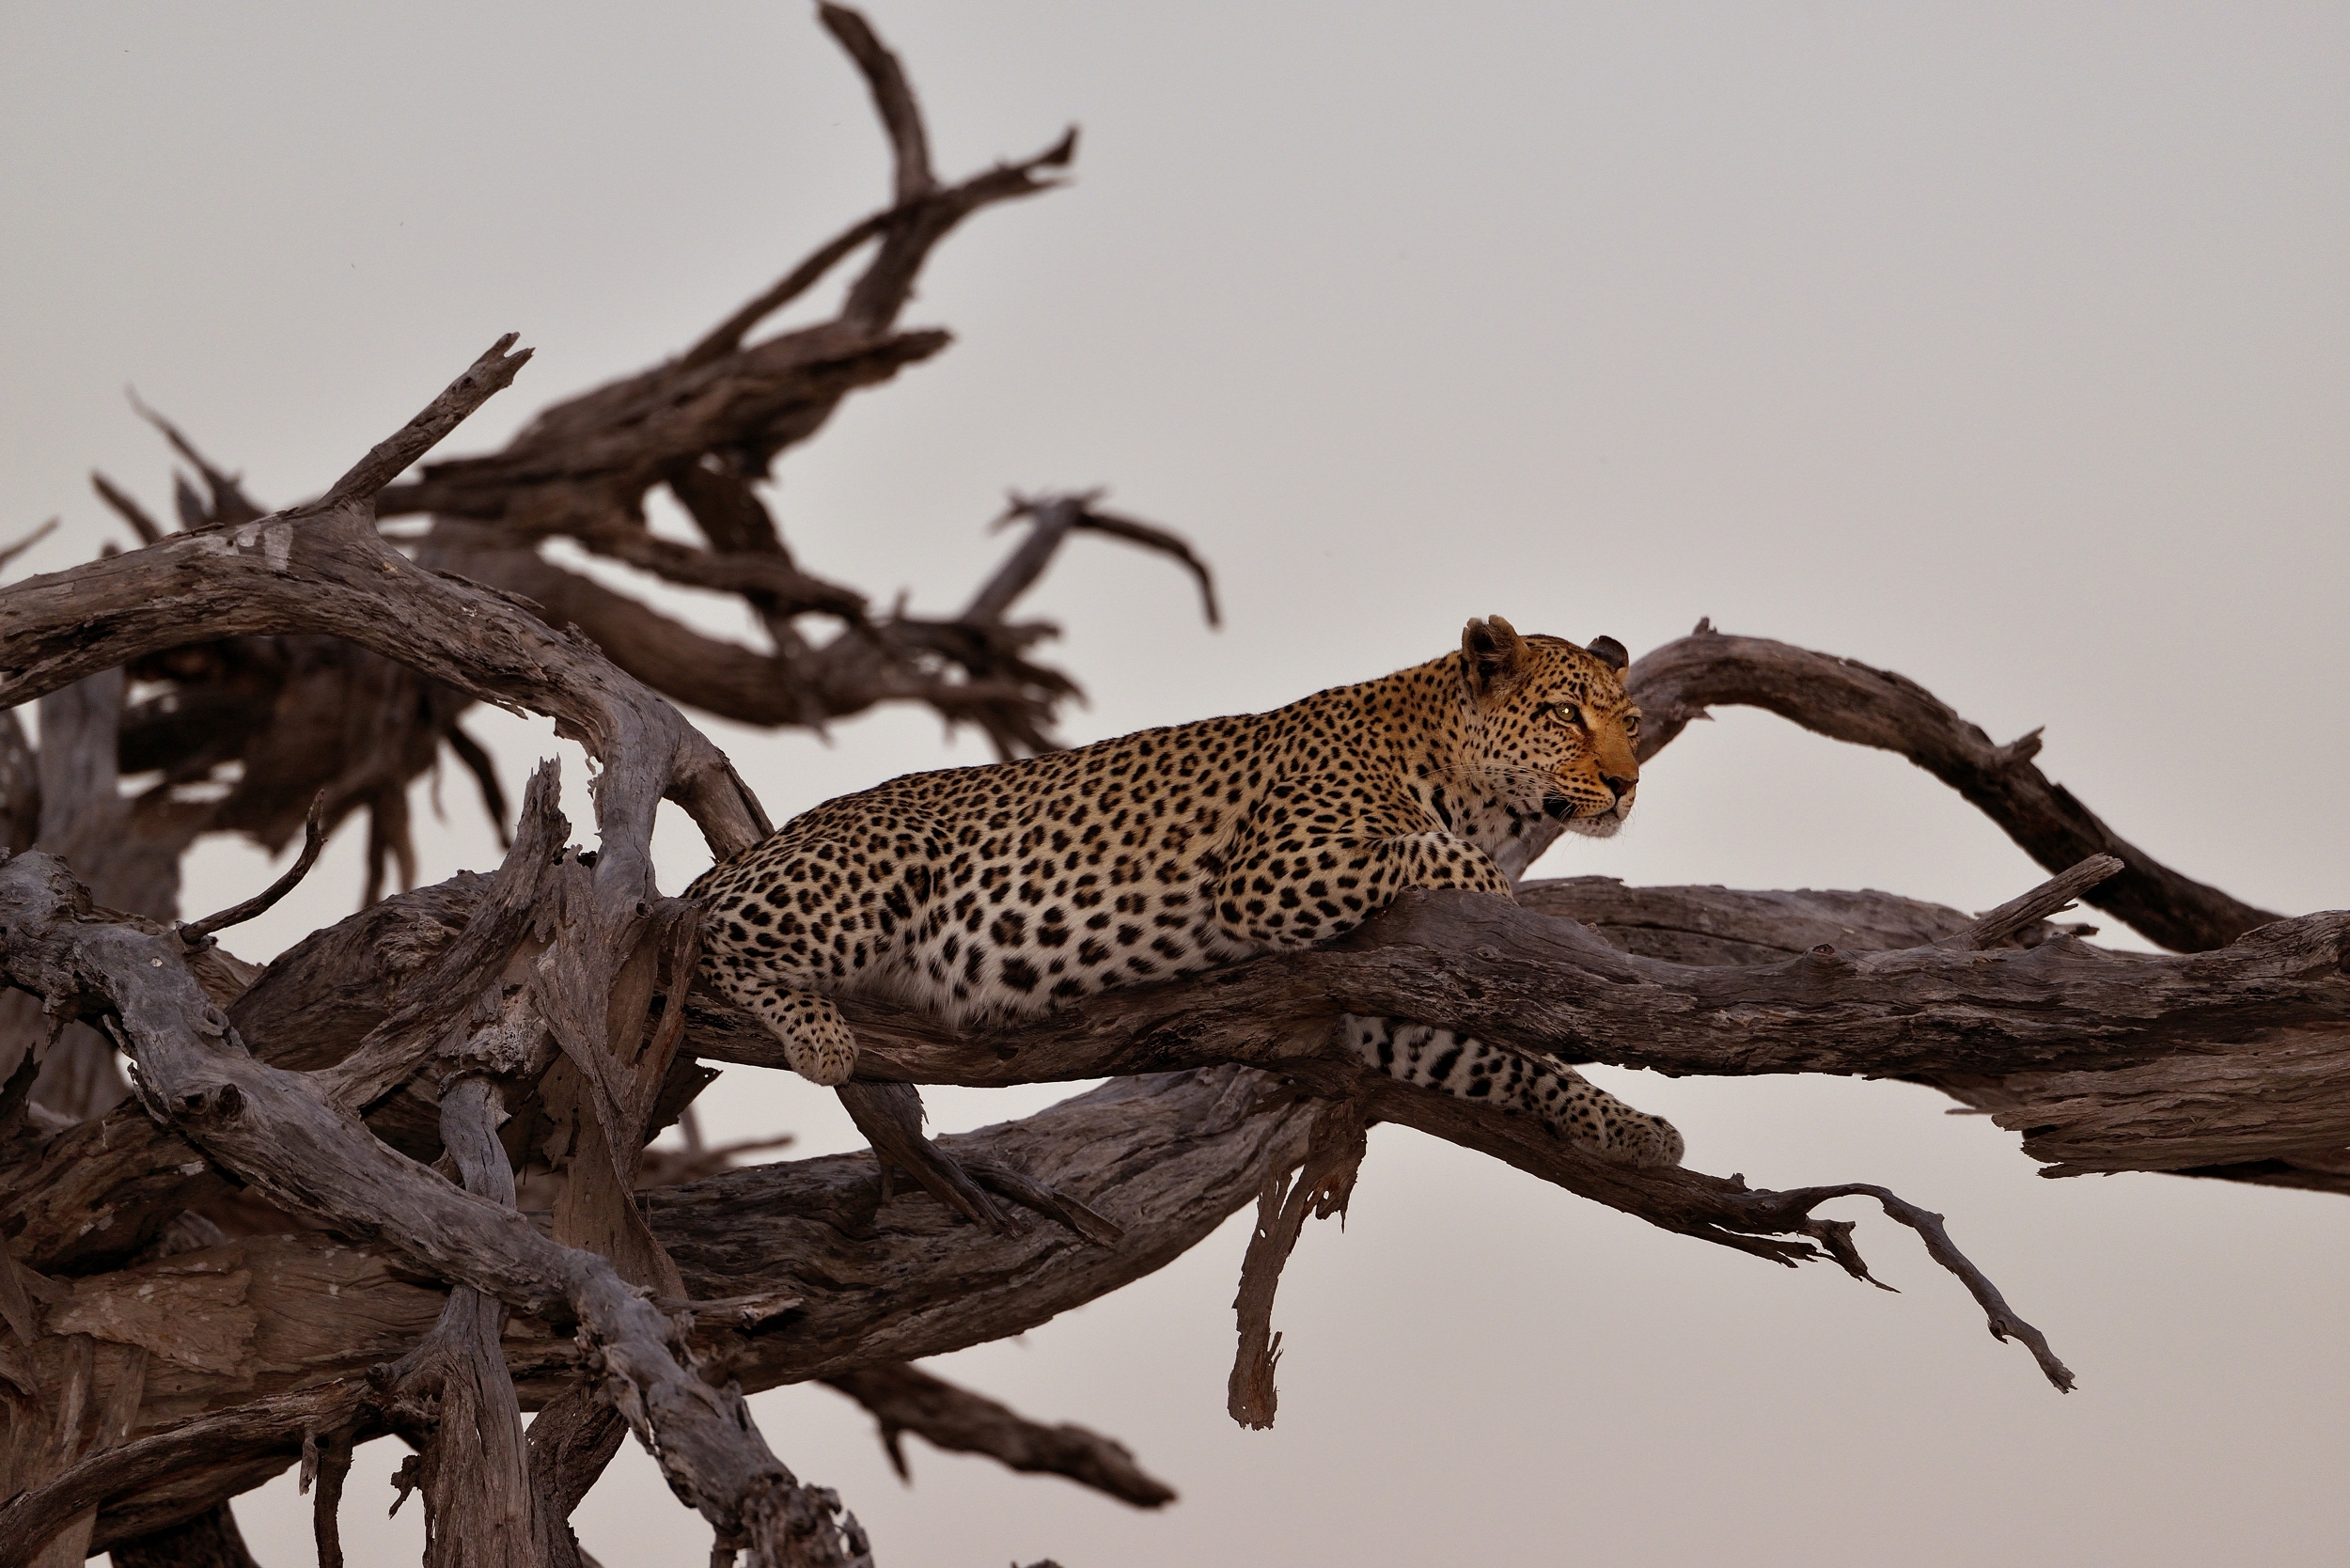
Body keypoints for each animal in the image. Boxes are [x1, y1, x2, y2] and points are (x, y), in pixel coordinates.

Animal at [690, 615, 1683, 1167]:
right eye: (1564, 714)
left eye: (1631, 723)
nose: (1627, 784)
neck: (1474, 793)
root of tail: (750, 851)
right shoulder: (1274, 871)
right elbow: (1422, 851)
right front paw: (1502, 900)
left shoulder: (1371, 1008)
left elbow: (1507, 1059)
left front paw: (1630, 1127)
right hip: (886, 855)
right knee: (707, 932)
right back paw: (818, 1035)